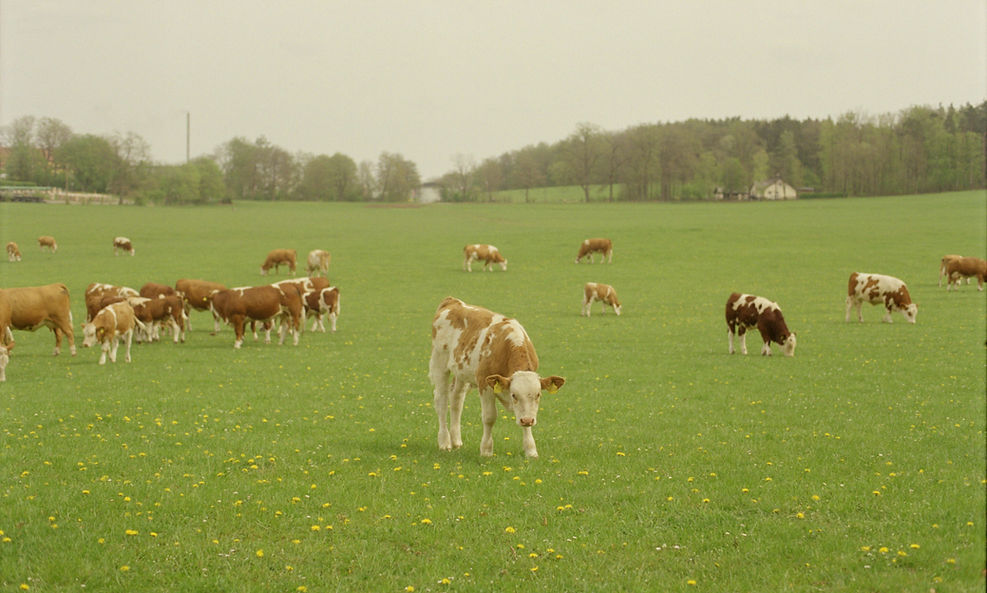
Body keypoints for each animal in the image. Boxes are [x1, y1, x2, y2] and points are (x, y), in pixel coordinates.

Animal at [429, 297, 565, 458]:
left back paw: (456, 441)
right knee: (441, 401)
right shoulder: (485, 383)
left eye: (538, 395)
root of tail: (453, 301)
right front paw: (486, 450)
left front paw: (530, 450)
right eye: (514, 395)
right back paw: (444, 442)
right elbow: (489, 417)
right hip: (440, 363)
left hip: (461, 373)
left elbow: (525, 415)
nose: (527, 420)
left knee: (456, 399)